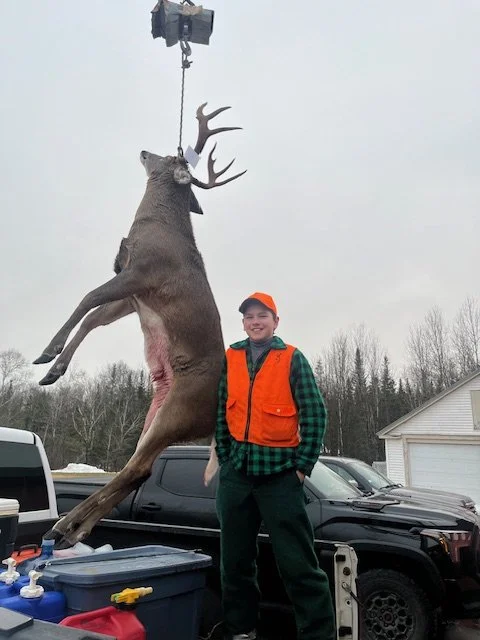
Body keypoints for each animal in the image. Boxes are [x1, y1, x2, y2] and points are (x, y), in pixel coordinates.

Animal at [33, 104, 245, 547]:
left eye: (168, 156)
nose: (144, 150)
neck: (156, 224)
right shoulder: (133, 297)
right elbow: (93, 316)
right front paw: (54, 370)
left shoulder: (142, 273)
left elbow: (87, 299)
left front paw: (47, 352)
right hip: (157, 408)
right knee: (136, 468)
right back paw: (72, 530)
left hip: (179, 408)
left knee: (137, 469)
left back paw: (66, 526)